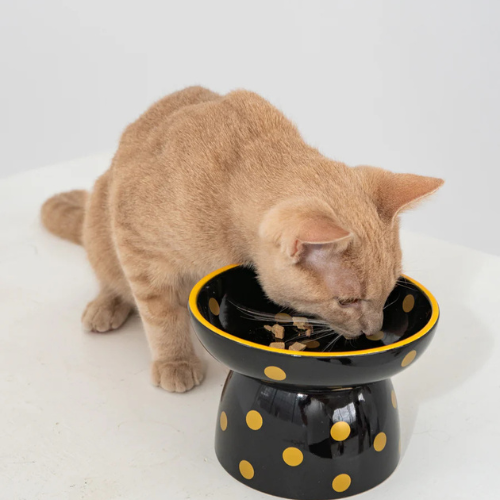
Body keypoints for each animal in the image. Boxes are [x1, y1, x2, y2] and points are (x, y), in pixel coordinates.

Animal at [41, 87, 444, 390]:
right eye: (347, 301)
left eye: (389, 291)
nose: (373, 328)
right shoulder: (135, 242)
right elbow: (160, 312)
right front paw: (175, 359)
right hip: (101, 217)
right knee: (111, 276)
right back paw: (107, 304)